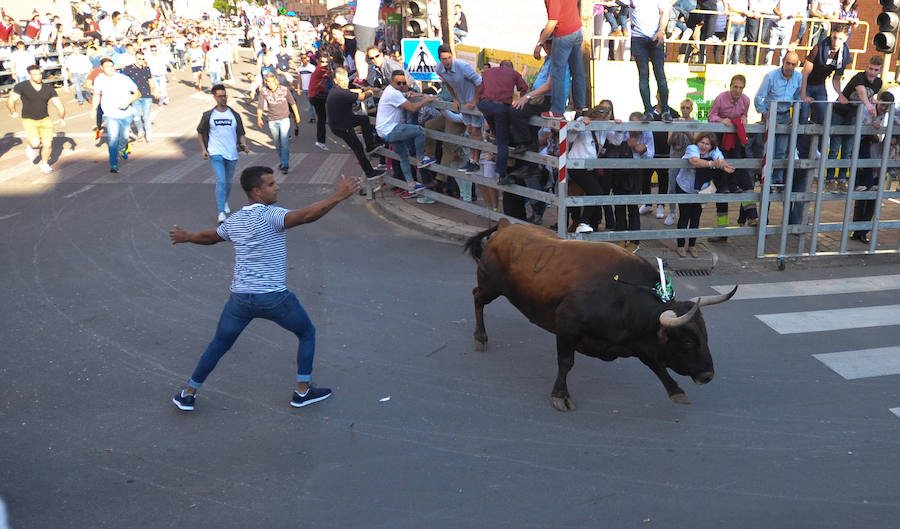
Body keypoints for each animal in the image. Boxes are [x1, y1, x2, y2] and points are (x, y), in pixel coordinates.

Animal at [464, 217, 740, 410]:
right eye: (687, 341)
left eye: (705, 335)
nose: (708, 375)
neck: (624, 296)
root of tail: (506, 225)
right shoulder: (567, 326)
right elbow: (566, 362)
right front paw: (560, 396)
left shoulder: (638, 343)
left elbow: (656, 365)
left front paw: (676, 391)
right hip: (491, 286)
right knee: (477, 297)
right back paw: (480, 337)